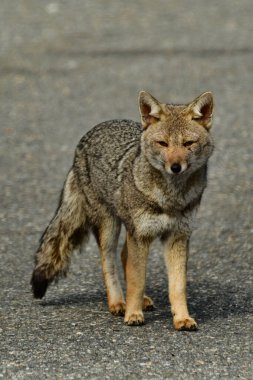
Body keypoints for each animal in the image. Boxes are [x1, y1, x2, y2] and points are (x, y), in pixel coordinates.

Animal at [30, 90, 214, 330]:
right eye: (163, 143)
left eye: (188, 143)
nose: (175, 167)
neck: (170, 197)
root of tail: (89, 134)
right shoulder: (141, 235)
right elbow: (137, 280)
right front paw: (133, 315)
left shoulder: (177, 236)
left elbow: (178, 286)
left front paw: (182, 318)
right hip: (110, 227)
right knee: (109, 262)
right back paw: (118, 303)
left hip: (131, 231)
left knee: (124, 255)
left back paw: (139, 301)